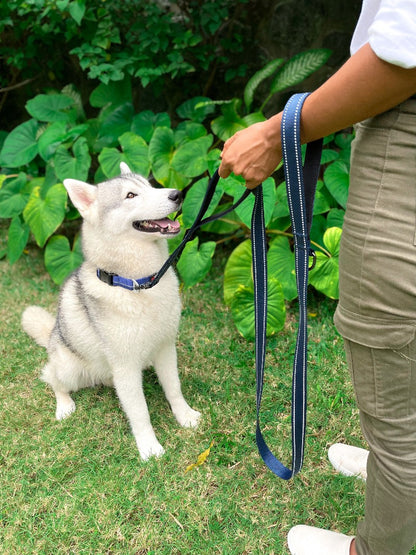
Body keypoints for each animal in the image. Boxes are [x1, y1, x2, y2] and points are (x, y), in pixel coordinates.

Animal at [22, 164, 201, 460]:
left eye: (150, 185)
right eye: (130, 195)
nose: (177, 194)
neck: (140, 284)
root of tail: (52, 334)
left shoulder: (166, 347)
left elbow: (174, 388)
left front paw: (184, 416)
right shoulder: (125, 365)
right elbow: (139, 412)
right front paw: (149, 447)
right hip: (69, 368)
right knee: (51, 378)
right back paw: (64, 405)